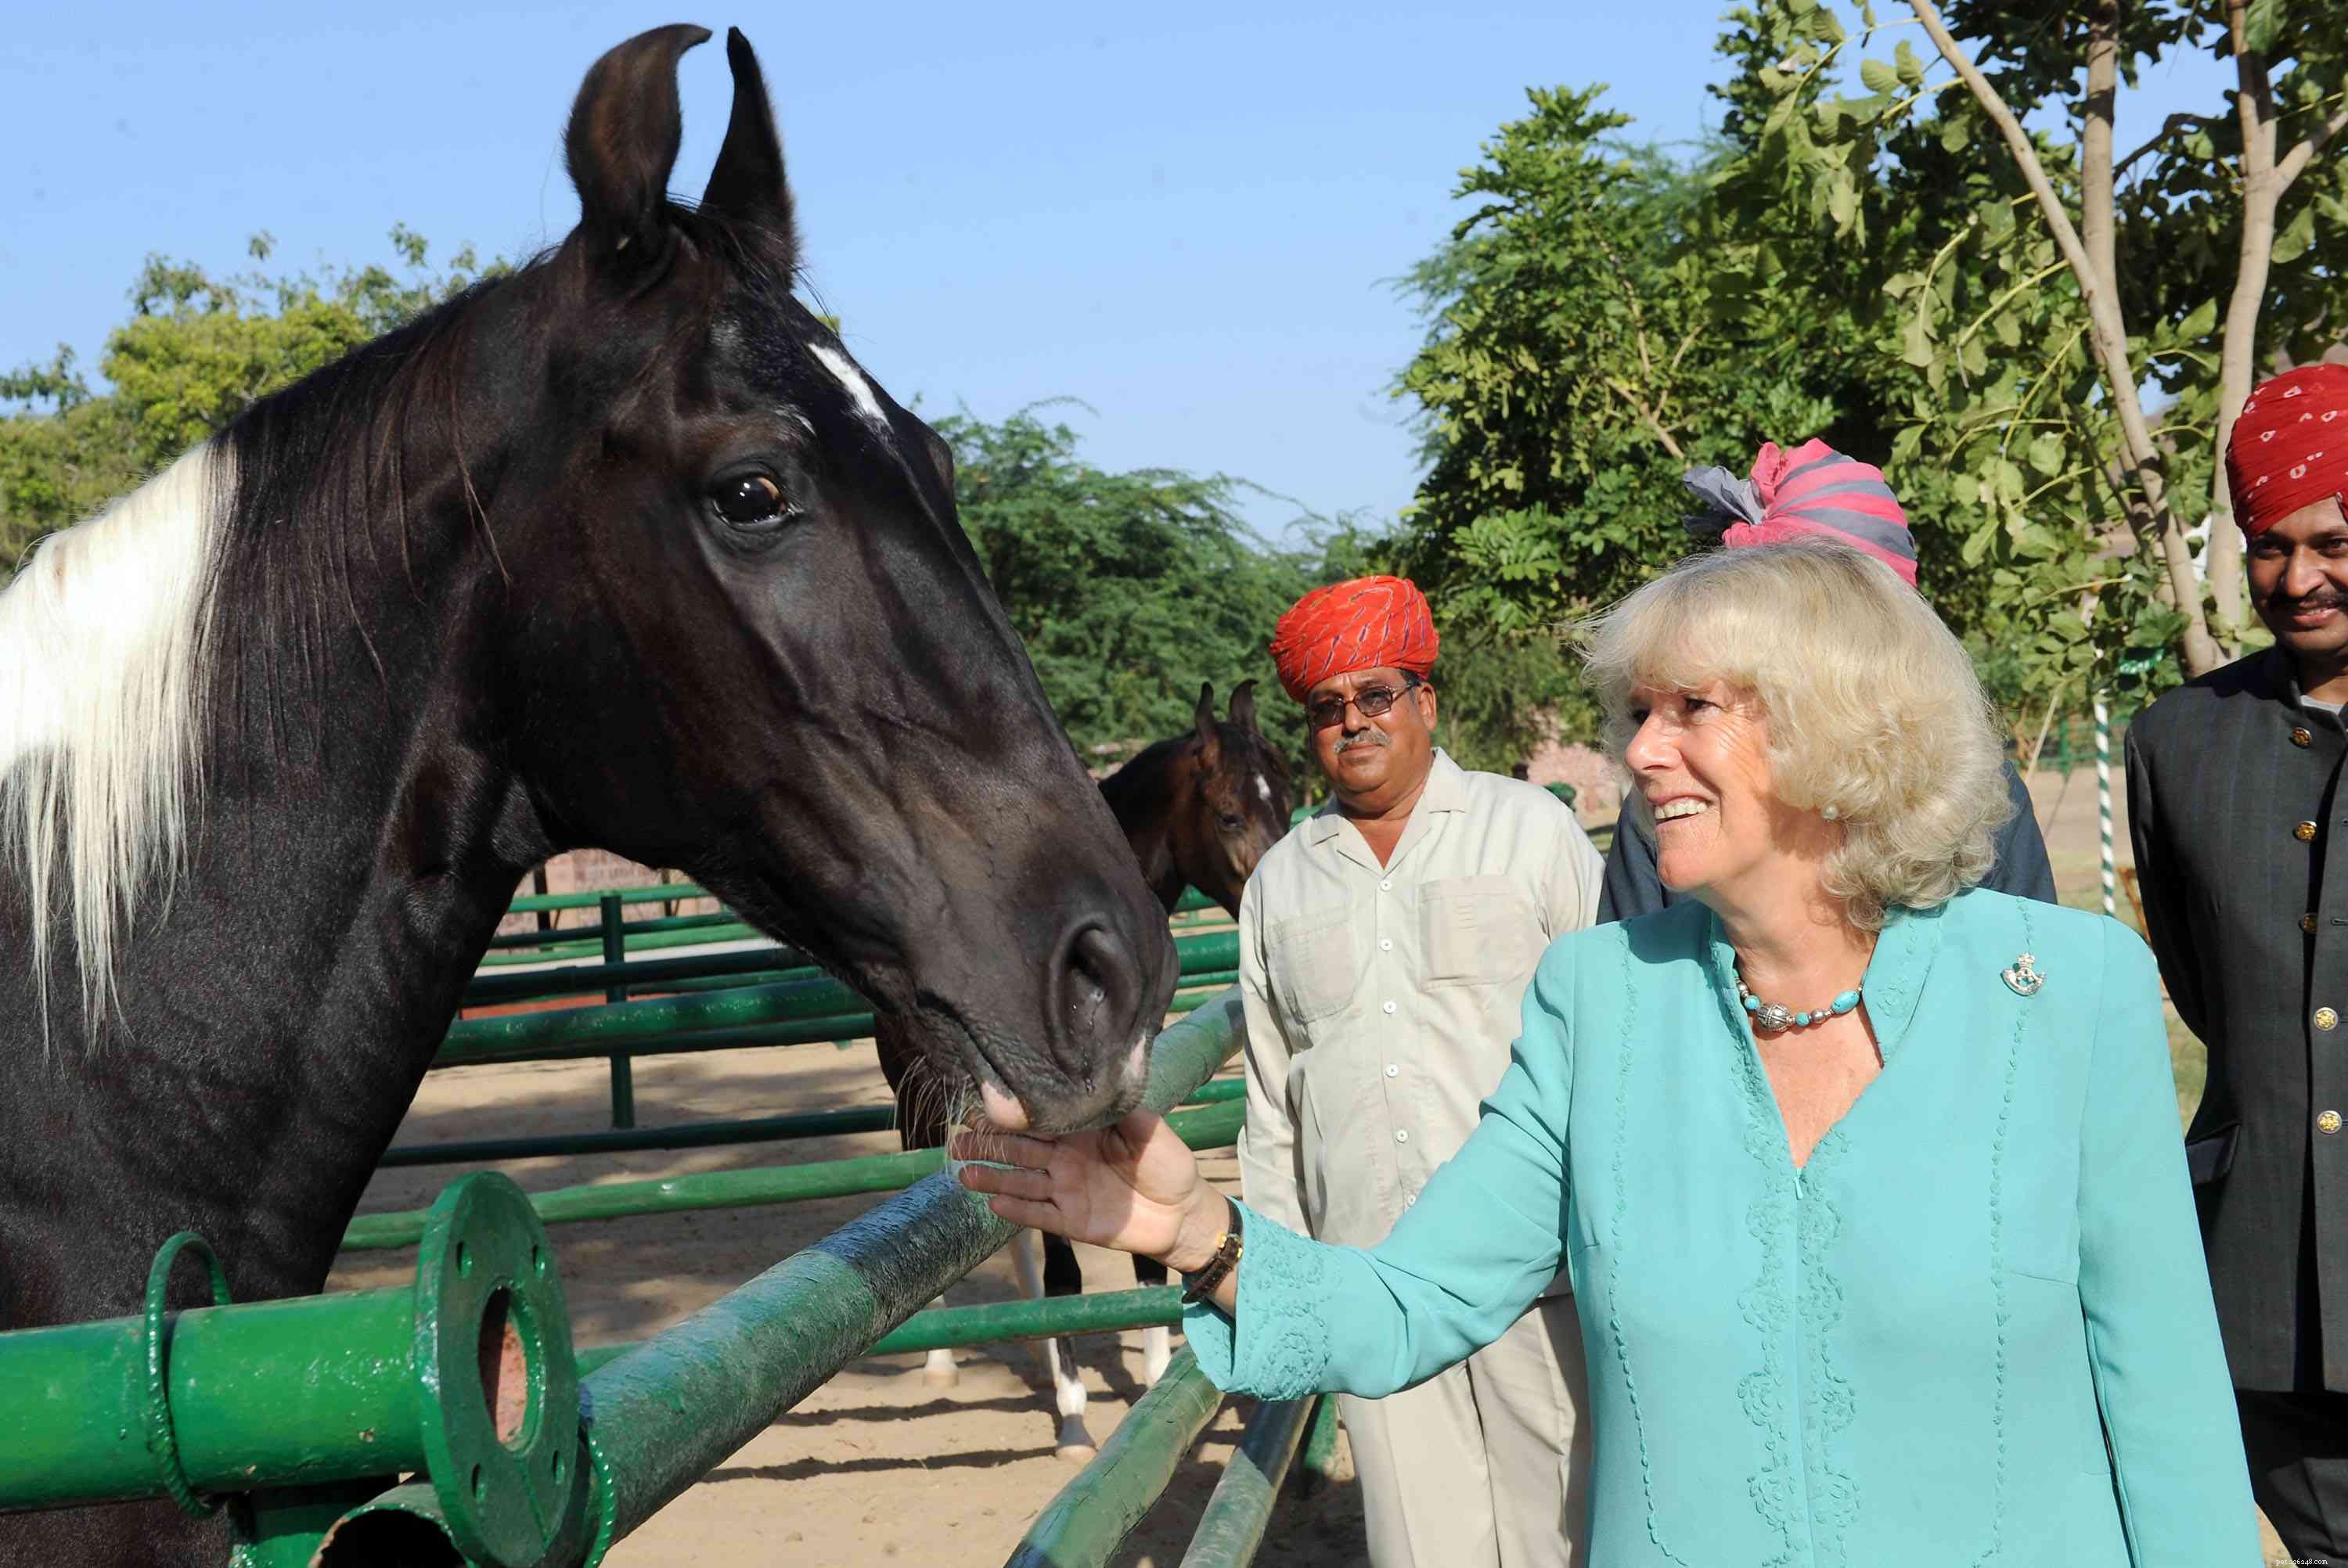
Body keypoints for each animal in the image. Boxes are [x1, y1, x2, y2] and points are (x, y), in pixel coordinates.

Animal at [879, 679, 1293, 1456]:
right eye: (1230, 813)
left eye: (1288, 798)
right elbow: (1066, 1270)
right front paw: (1073, 1416)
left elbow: (1143, 1250)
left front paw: (1153, 1370)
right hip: (918, 1106)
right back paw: (945, 1359)